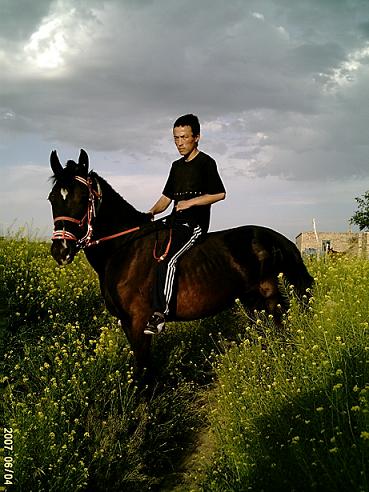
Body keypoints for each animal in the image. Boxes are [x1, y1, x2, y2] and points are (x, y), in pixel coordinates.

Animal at [47, 150, 314, 372]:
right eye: (52, 198)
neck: (124, 248)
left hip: (272, 300)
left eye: (83, 198)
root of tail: (281, 240)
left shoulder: (138, 323)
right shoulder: (126, 323)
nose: (61, 250)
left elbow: (144, 371)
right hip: (253, 301)